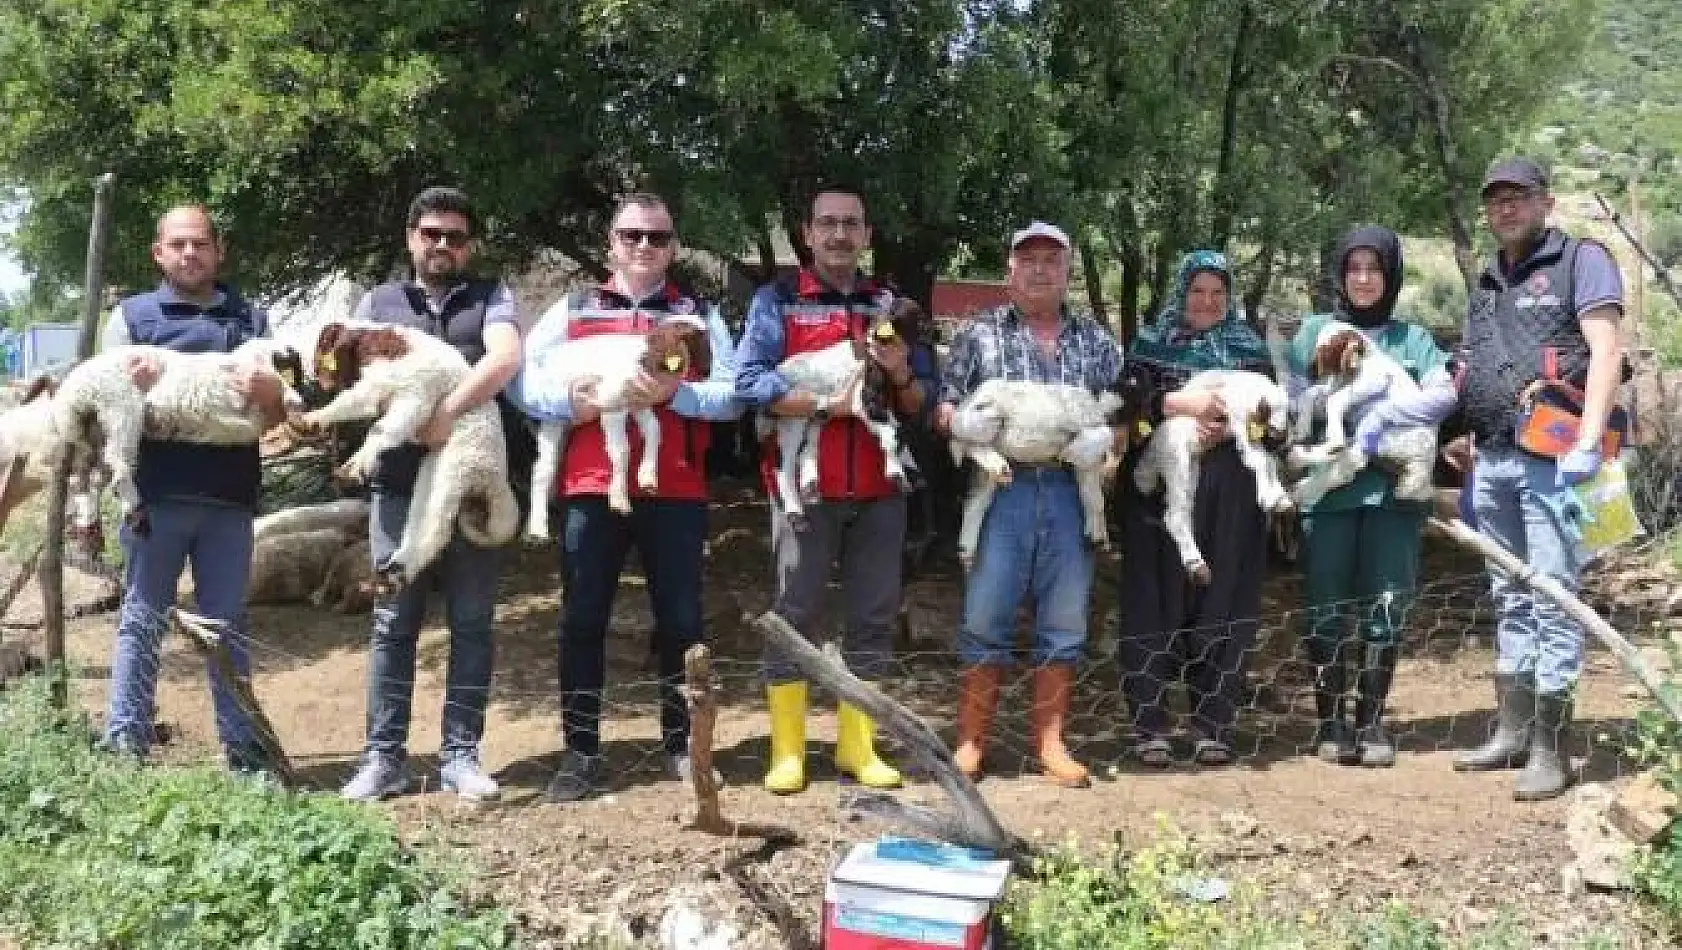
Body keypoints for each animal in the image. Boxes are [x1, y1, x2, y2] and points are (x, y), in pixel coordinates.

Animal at [0, 339, 304, 534]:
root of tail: (72, 391)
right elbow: (278, 383)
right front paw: (293, 401)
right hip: (121, 409)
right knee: (117, 466)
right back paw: (134, 511)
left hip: (92, 430)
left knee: (91, 474)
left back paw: (89, 516)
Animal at [299, 321, 514, 585]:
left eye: (321, 349)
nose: (319, 382)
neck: (375, 340)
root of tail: (496, 476)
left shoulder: (412, 393)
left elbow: (370, 418)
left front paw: (318, 421)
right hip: (433, 466)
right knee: (420, 513)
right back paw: (396, 564)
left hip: (458, 463)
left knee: (437, 527)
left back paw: (400, 572)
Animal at [524, 311, 709, 534]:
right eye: (692, 335)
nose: (707, 371)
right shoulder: (612, 404)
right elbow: (622, 450)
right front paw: (620, 499)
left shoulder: (640, 402)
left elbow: (654, 430)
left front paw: (647, 477)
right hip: (553, 418)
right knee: (542, 469)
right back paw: (538, 527)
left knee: (554, 463)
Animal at [1137, 368, 1291, 585]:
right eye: (1266, 415)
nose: (1282, 442)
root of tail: (1153, 447)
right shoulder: (1240, 424)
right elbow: (1260, 460)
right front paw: (1270, 499)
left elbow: (1268, 462)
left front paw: (1279, 500)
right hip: (1177, 461)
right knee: (1174, 516)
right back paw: (1197, 565)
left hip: (1192, 467)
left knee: (1183, 511)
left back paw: (1196, 567)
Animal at [1285, 317, 1433, 507]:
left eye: (1326, 350)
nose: (1310, 372)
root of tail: (1424, 463)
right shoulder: (1331, 388)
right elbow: (1309, 394)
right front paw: (1302, 427)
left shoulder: (1374, 379)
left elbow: (1335, 400)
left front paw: (1332, 435)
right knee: (1347, 465)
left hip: (1383, 432)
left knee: (1351, 459)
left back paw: (1305, 471)